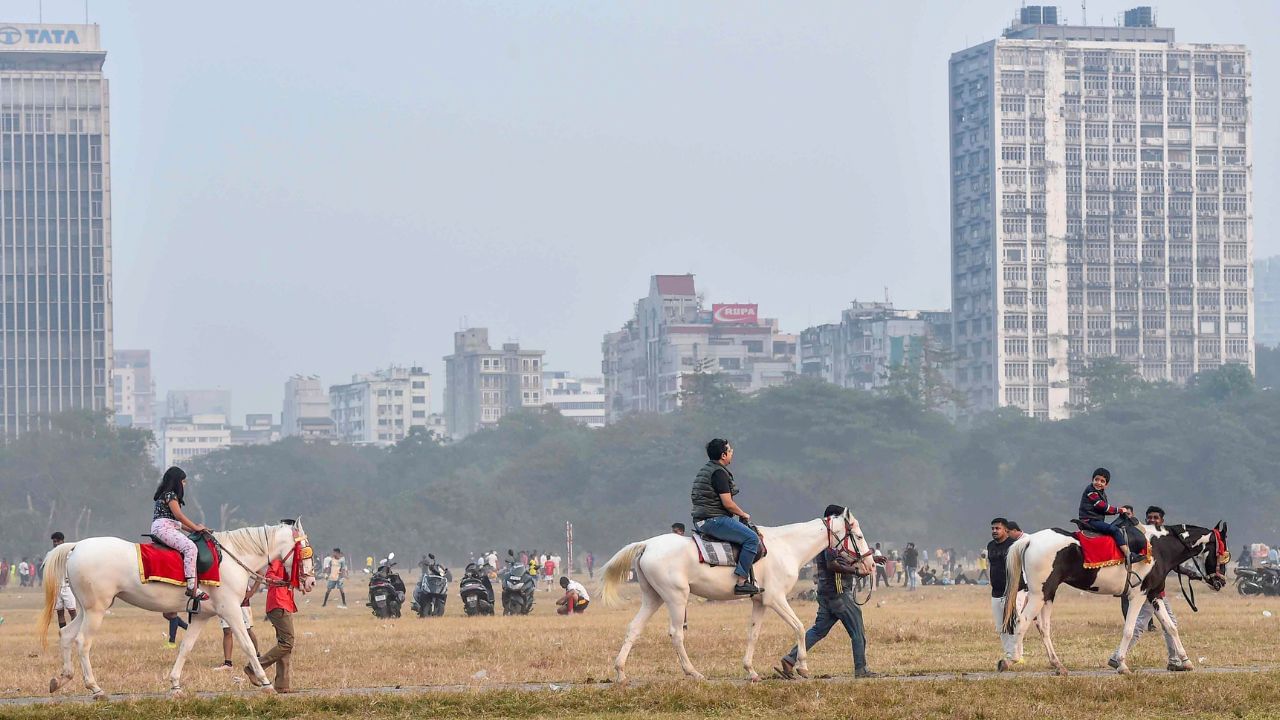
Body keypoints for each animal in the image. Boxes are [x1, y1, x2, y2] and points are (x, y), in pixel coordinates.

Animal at [38, 517, 314, 696]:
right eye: (305, 551)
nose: (310, 581)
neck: (233, 556)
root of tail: (76, 547)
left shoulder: (202, 616)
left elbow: (185, 647)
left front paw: (175, 685)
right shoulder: (231, 610)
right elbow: (247, 644)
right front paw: (265, 682)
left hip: (87, 609)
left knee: (66, 634)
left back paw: (61, 679)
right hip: (96, 610)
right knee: (82, 642)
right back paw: (95, 688)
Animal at [599, 507, 880, 681]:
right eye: (858, 536)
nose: (870, 565)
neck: (786, 546)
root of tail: (647, 544)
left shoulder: (760, 601)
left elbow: (753, 634)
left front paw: (751, 670)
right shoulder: (775, 598)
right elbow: (800, 627)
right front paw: (802, 666)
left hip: (653, 598)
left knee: (633, 628)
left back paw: (621, 672)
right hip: (676, 598)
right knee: (676, 634)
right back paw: (693, 672)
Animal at [1003, 515, 1223, 671]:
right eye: (1221, 551)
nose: (1220, 581)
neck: (1159, 548)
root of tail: (1030, 540)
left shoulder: (1154, 594)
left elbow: (1170, 627)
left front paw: (1185, 661)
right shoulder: (1138, 595)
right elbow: (1129, 629)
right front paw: (1121, 664)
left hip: (1048, 593)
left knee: (1043, 626)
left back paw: (1057, 665)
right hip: (1038, 593)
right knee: (1023, 620)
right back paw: (1011, 659)